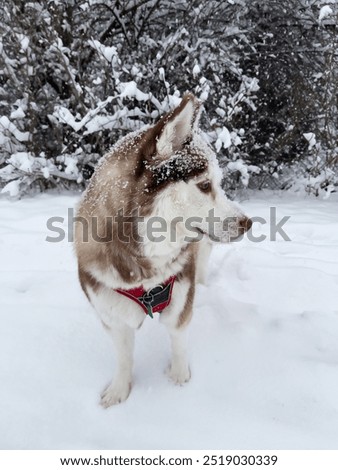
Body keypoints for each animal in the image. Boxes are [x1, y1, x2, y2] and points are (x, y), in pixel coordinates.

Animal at [75, 93, 252, 406]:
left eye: (218, 185)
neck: (144, 268)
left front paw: (179, 378)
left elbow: (178, 338)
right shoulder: (109, 312)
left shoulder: (181, 294)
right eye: (204, 185)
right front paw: (120, 390)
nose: (248, 223)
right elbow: (123, 356)